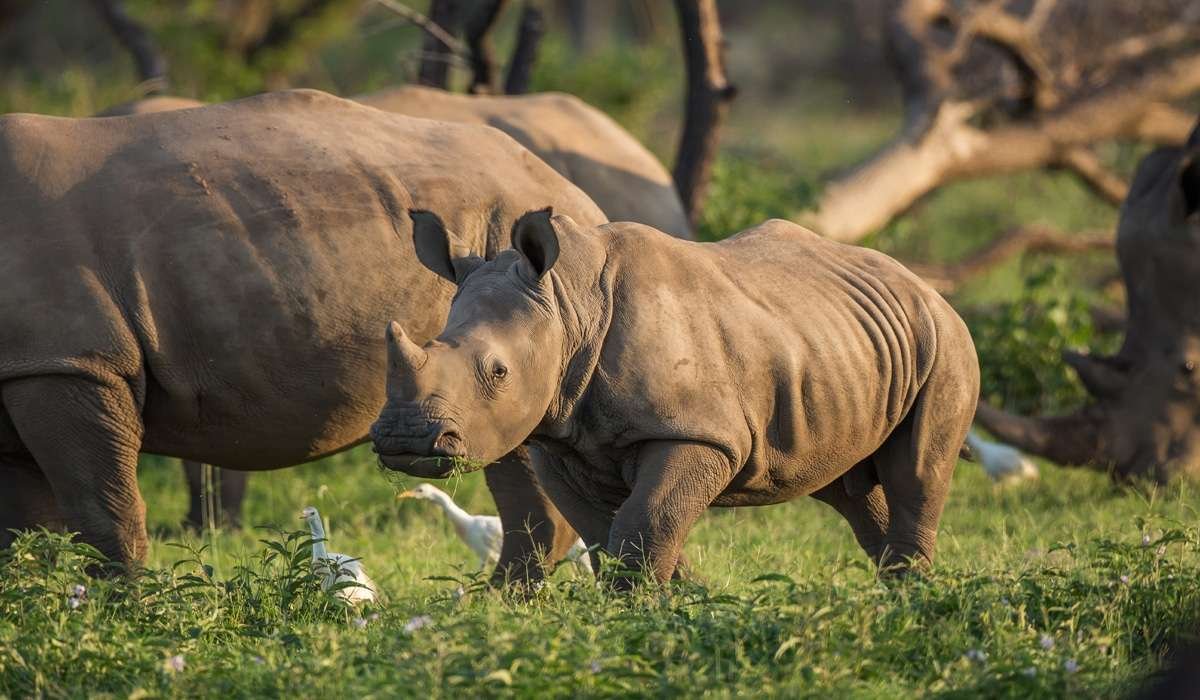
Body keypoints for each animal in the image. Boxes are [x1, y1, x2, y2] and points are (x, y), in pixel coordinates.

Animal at [0, 88, 604, 576]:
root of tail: (573, 192)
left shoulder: (69, 362)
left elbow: (102, 516)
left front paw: (119, 618)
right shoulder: (36, 366)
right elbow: (26, 530)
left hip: (510, 240)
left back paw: (494, 607)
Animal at [369, 211, 979, 583]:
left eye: (498, 372)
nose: (405, 438)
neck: (567, 306)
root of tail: (923, 284)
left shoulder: (697, 433)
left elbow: (647, 522)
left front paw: (652, 611)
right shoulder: (558, 442)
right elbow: (609, 535)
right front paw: (677, 605)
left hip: (946, 340)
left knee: (917, 472)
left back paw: (914, 601)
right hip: (837, 345)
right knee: (849, 488)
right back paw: (896, 592)